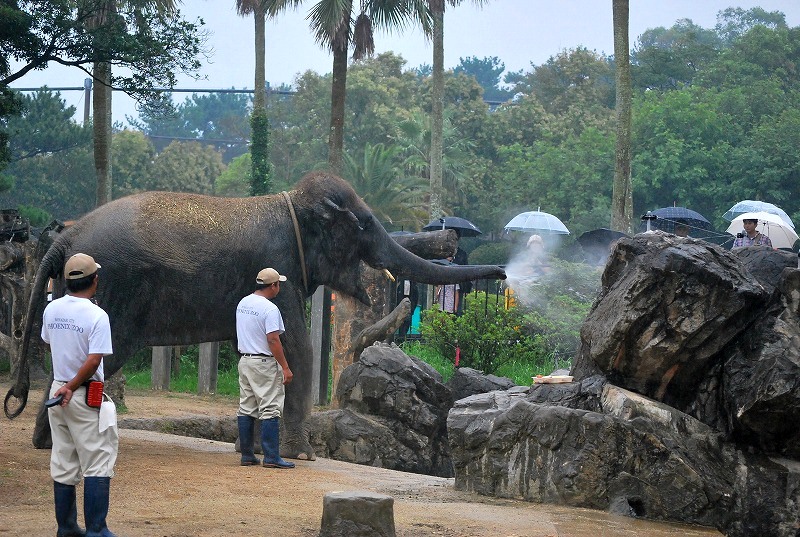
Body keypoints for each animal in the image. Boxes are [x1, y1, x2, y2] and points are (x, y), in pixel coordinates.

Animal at [6, 172, 504, 456]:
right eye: (363, 224)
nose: (503, 269)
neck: (291, 202)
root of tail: (62, 241)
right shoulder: (278, 269)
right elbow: (296, 349)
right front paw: (301, 457)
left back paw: (46, 444)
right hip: (113, 292)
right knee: (104, 355)